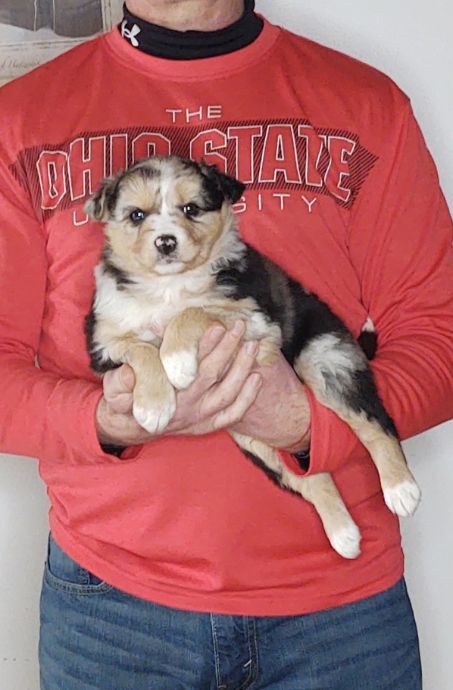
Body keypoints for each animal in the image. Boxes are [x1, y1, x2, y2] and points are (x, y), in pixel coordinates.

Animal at [85, 153, 420, 556]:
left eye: (191, 208)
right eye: (136, 215)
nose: (166, 242)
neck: (168, 285)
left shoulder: (253, 319)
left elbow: (193, 312)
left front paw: (177, 363)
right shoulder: (104, 343)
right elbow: (140, 346)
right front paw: (154, 404)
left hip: (324, 356)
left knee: (374, 422)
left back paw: (401, 490)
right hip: (253, 439)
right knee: (307, 475)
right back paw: (344, 535)